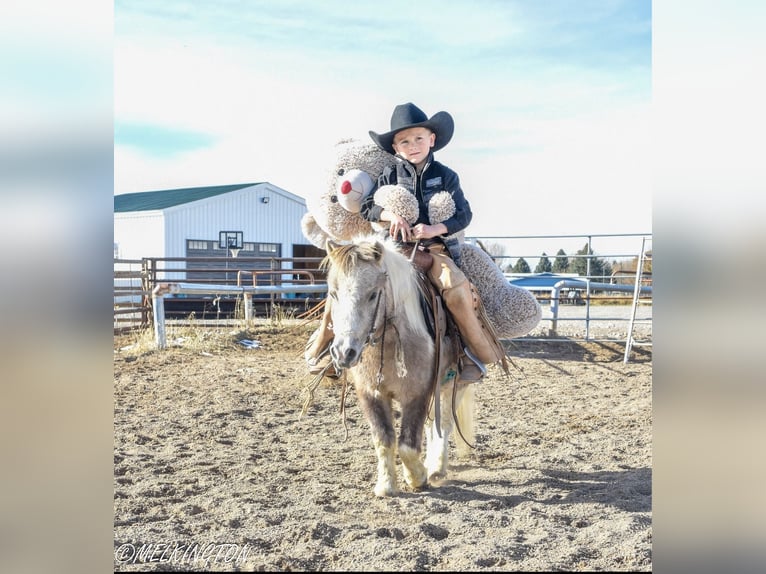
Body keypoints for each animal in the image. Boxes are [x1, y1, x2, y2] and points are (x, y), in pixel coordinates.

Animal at [322, 236, 474, 498]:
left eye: (373, 294)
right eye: (334, 293)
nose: (344, 352)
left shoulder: (418, 393)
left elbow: (407, 445)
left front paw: (417, 477)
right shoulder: (371, 394)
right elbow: (384, 440)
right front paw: (386, 485)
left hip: (454, 383)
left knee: (444, 423)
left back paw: (436, 468)